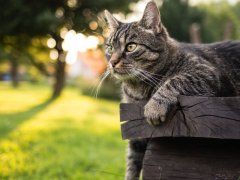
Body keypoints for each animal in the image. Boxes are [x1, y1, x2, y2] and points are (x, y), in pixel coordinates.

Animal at [104, 0, 240, 179]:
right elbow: (132, 162)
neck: (137, 89)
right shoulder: (136, 129)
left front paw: (154, 107)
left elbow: (174, 81)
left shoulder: (206, 72)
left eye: (131, 47)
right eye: (110, 48)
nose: (112, 62)